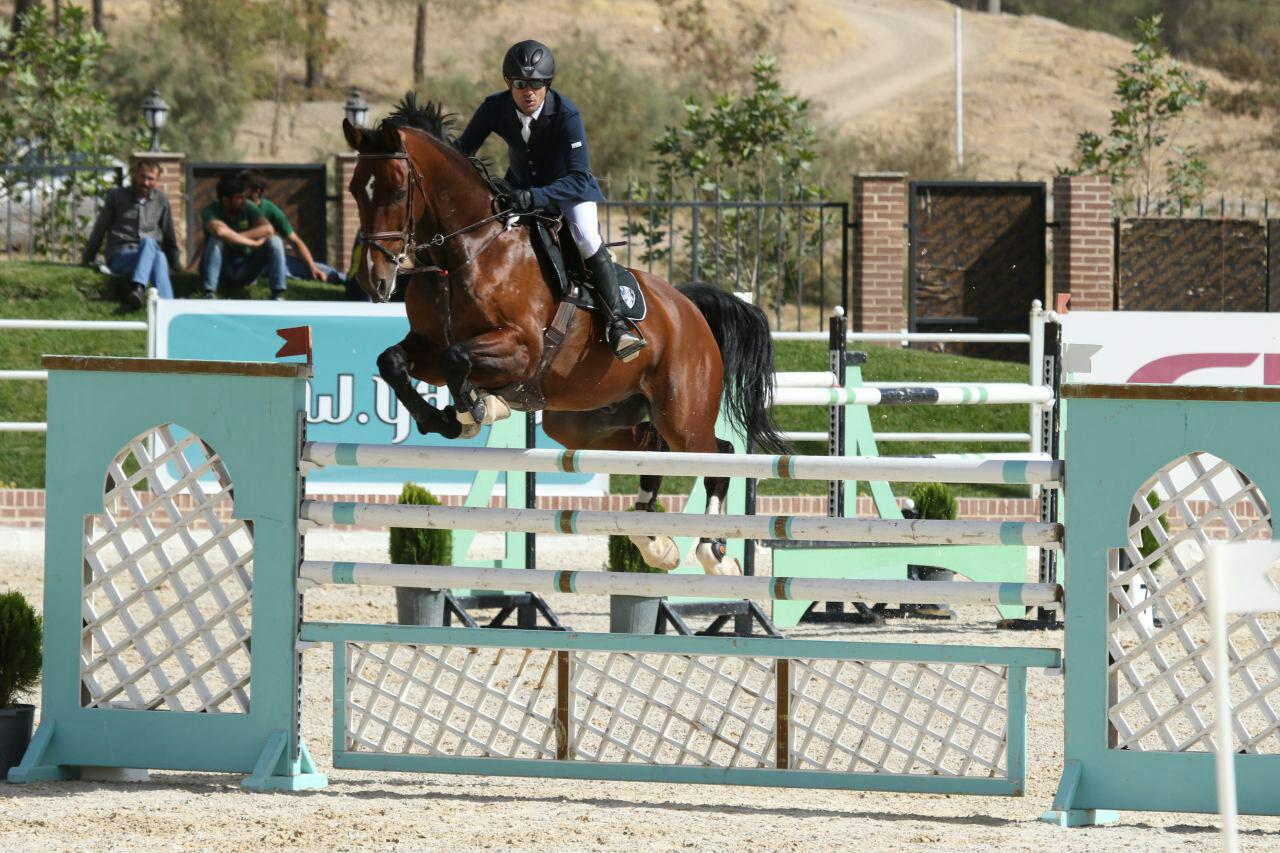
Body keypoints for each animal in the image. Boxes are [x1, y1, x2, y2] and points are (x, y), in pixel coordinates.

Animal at [340, 94, 783, 571]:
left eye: (398, 191)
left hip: (682, 413)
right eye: (354, 191)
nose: (374, 280)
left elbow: (456, 358)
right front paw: (440, 418)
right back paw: (654, 542)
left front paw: (477, 409)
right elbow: (394, 361)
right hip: (584, 422)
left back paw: (713, 552)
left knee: (718, 456)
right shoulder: (428, 346)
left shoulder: (523, 349)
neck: (465, 252)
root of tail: (687, 308)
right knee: (652, 446)